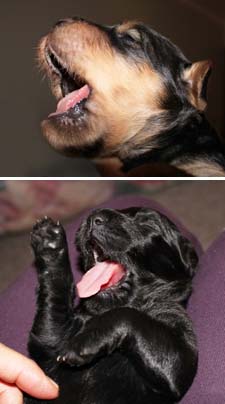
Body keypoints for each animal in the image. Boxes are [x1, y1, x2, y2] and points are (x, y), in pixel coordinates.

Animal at [25, 208, 199, 404]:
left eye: (147, 224)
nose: (93, 217)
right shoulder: (51, 343)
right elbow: (55, 295)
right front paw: (49, 244)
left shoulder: (180, 359)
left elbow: (126, 313)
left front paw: (84, 341)